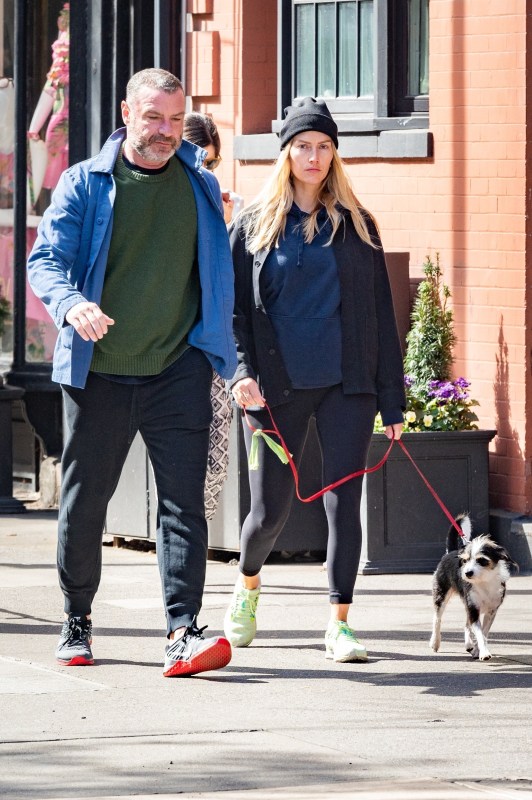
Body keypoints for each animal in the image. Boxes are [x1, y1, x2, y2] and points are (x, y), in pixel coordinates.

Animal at [430, 512, 516, 664]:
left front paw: (477, 650)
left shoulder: (491, 611)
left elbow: (484, 632)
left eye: (482, 560)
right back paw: (435, 642)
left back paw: (469, 645)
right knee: (437, 619)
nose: (467, 573)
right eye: (465, 561)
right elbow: (480, 633)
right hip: (441, 594)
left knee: (466, 624)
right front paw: (484, 653)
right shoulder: (473, 609)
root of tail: (450, 551)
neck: (484, 582)